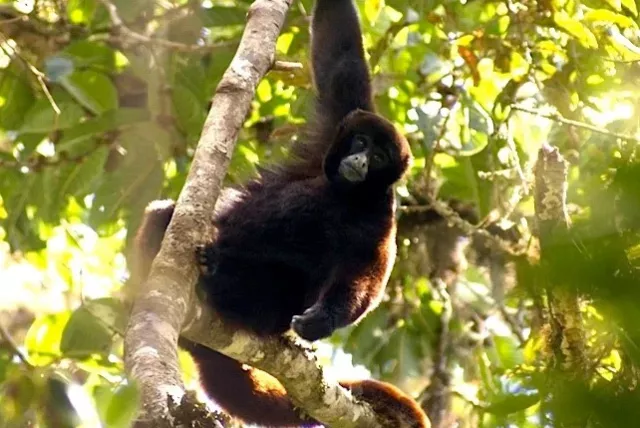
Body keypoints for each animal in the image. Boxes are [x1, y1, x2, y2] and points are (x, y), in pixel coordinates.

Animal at [131, 0, 430, 426]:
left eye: (379, 157)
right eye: (360, 142)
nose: (359, 160)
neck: (345, 194)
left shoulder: (380, 217)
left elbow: (367, 276)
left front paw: (323, 319)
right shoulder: (333, 131)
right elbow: (340, 59)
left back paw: (218, 277)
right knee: (163, 215)